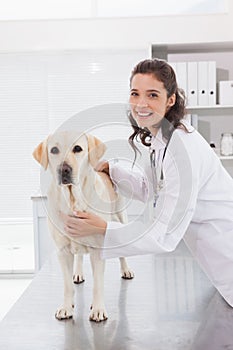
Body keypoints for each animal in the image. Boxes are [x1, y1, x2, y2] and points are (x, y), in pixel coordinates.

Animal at [33, 131, 134, 322]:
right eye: (54, 150)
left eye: (78, 148)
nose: (63, 169)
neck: (74, 199)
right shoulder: (63, 251)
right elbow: (67, 286)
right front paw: (66, 307)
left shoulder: (98, 250)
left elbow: (98, 284)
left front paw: (98, 309)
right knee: (79, 257)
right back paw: (78, 273)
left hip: (120, 219)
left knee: (122, 253)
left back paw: (126, 270)